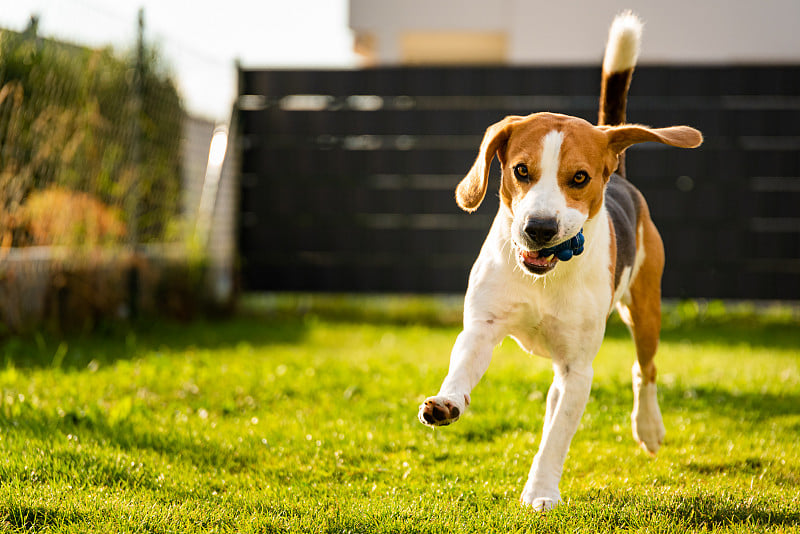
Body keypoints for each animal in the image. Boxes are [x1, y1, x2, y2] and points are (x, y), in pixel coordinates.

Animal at [418, 12, 700, 512]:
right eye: (521, 170)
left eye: (580, 178)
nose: (540, 228)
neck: (543, 277)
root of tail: (619, 174)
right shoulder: (482, 328)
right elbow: (462, 368)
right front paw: (447, 402)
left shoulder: (579, 368)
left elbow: (557, 439)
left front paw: (541, 491)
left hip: (645, 309)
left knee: (644, 370)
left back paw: (648, 427)